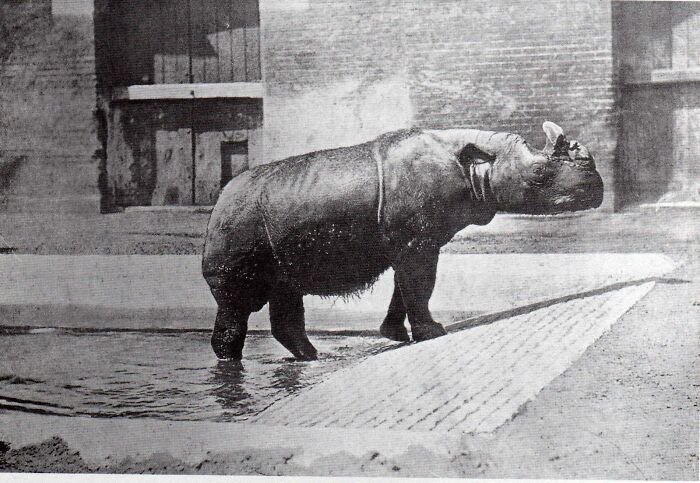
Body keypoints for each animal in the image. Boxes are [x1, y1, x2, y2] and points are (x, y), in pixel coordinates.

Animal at [202, 122, 603, 361]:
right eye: (537, 174)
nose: (597, 190)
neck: (479, 164)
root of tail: (220, 201)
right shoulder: (418, 241)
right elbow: (419, 283)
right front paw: (432, 333)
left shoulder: (417, 239)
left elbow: (406, 284)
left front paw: (394, 334)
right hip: (238, 225)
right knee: (239, 303)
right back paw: (231, 362)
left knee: (286, 290)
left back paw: (311, 357)